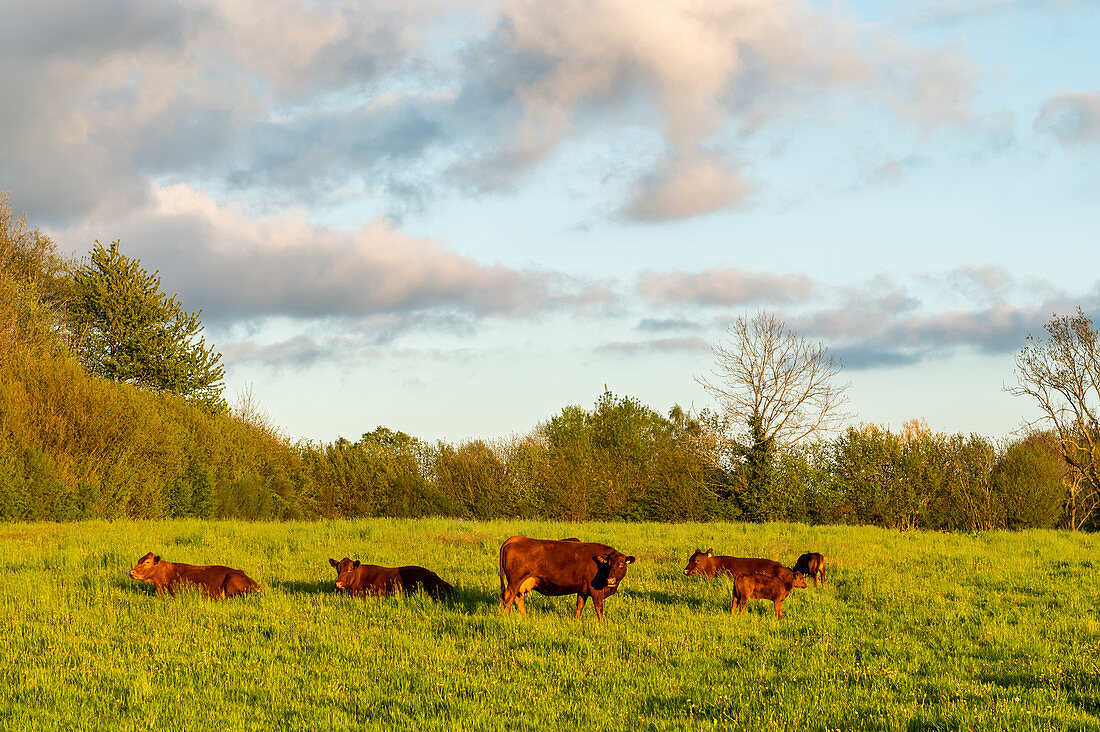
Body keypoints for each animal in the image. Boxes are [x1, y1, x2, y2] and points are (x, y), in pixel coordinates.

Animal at [499, 534, 638, 620]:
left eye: (621, 564)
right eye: (608, 564)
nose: (610, 580)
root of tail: (517, 539)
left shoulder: (583, 590)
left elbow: (579, 605)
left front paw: (577, 620)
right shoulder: (595, 590)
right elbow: (599, 608)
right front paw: (602, 623)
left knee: (517, 599)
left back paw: (525, 617)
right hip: (515, 581)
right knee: (508, 597)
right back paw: (506, 617)